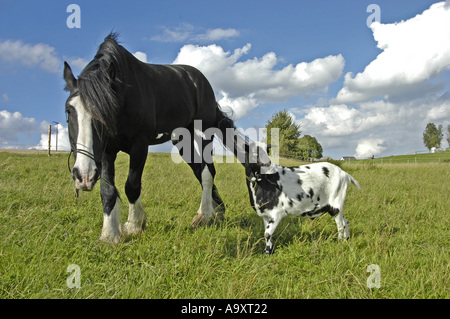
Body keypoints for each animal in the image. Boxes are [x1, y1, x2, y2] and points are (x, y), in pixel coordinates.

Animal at [62, 33, 260, 245]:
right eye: (69, 110)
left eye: (104, 113)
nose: (83, 176)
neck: (125, 94)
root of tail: (202, 83)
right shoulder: (107, 151)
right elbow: (107, 191)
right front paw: (109, 234)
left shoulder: (139, 146)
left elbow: (132, 186)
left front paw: (134, 225)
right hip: (182, 141)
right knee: (199, 171)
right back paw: (218, 211)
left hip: (203, 134)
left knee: (207, 172)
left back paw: (204, 215)